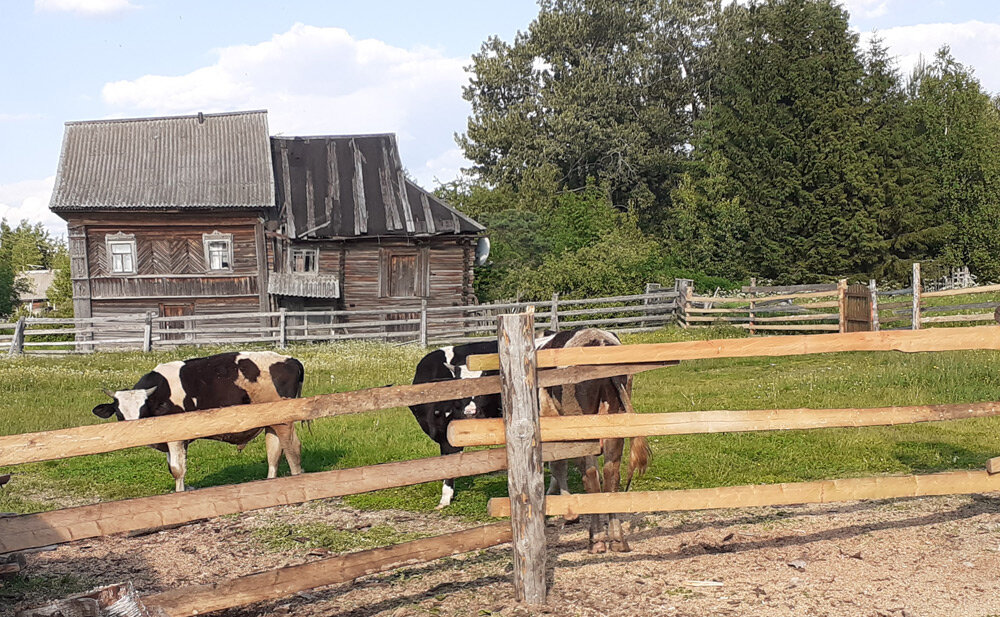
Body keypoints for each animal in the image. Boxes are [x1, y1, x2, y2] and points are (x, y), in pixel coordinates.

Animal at [93, 352, 304, 490]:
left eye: (142, 409)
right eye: (119, 413)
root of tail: (291, 360)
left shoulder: (176, 437)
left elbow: (177, 470)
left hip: (285, 421)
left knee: (292, 448)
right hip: (272, 422)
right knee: (274, 452)